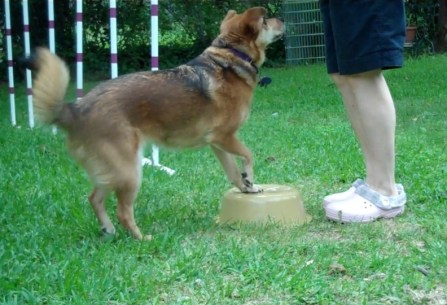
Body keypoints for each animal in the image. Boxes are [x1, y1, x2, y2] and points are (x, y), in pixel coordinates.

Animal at [29, 7, 286, 239]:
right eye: (266, 20)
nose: (282, 19)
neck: (231, 57)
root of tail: (77, 110)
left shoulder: (217, 143)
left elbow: (232, 171)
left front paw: (247, 187)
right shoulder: (225, 137)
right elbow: (249, 155)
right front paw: (249, 177)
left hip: (111, 170)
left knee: (94, 198)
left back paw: (108, 230)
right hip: (129, 170)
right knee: (123, 211)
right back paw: (141, 238)